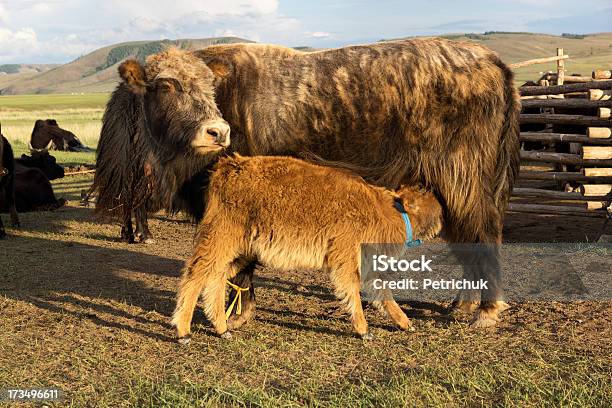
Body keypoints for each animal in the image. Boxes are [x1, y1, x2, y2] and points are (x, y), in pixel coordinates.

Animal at [170, 155, 442, 342]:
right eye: (426, 197)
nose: (434, 193)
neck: (385, 209)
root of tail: (227, 167)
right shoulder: (347, 257)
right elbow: (352, 289)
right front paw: (364, 330)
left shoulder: (366, 262)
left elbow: (381, 291)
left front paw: (405, 323)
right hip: (218, 240)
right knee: (195, 275)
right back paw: (184, 331)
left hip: (238, 251)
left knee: (215, 278)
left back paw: (222, 328)